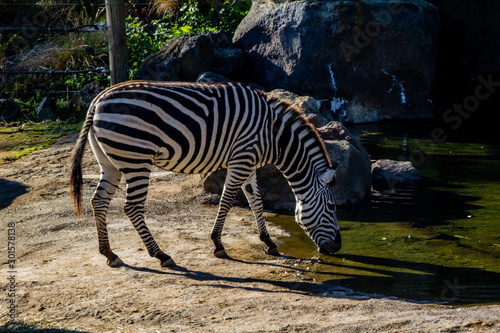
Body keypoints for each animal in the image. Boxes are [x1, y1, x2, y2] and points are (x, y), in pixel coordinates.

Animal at [68, 81, 342, 268]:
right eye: (331, 206)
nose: (338, 247)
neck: (274, 135)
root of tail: (97, 100)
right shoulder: (242, 158)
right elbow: (228, 201)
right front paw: (218, 244)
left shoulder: (249, 162)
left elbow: (256, 201)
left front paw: (268, 242)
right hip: (136, 158)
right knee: (132, 207)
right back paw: (160, 255)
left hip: (110, 162)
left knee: (99, 201)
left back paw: (109, 253)